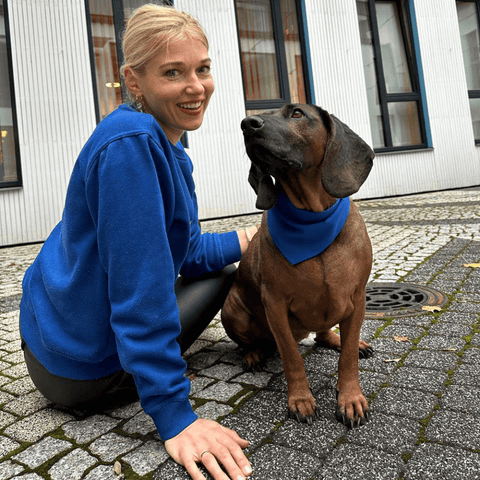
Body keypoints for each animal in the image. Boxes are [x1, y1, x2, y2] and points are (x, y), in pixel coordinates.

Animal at [221, 104, 376, 428]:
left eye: (297, 114)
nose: (247, 124)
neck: (312, 220)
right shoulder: (275, 305)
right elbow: (292, 358)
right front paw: (301, 400)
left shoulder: (357, 298)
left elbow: (347, 359)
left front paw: (350, 398)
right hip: (232, 310)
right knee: (248, 342)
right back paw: (253, 354)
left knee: (324, 334)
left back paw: (344, 340)